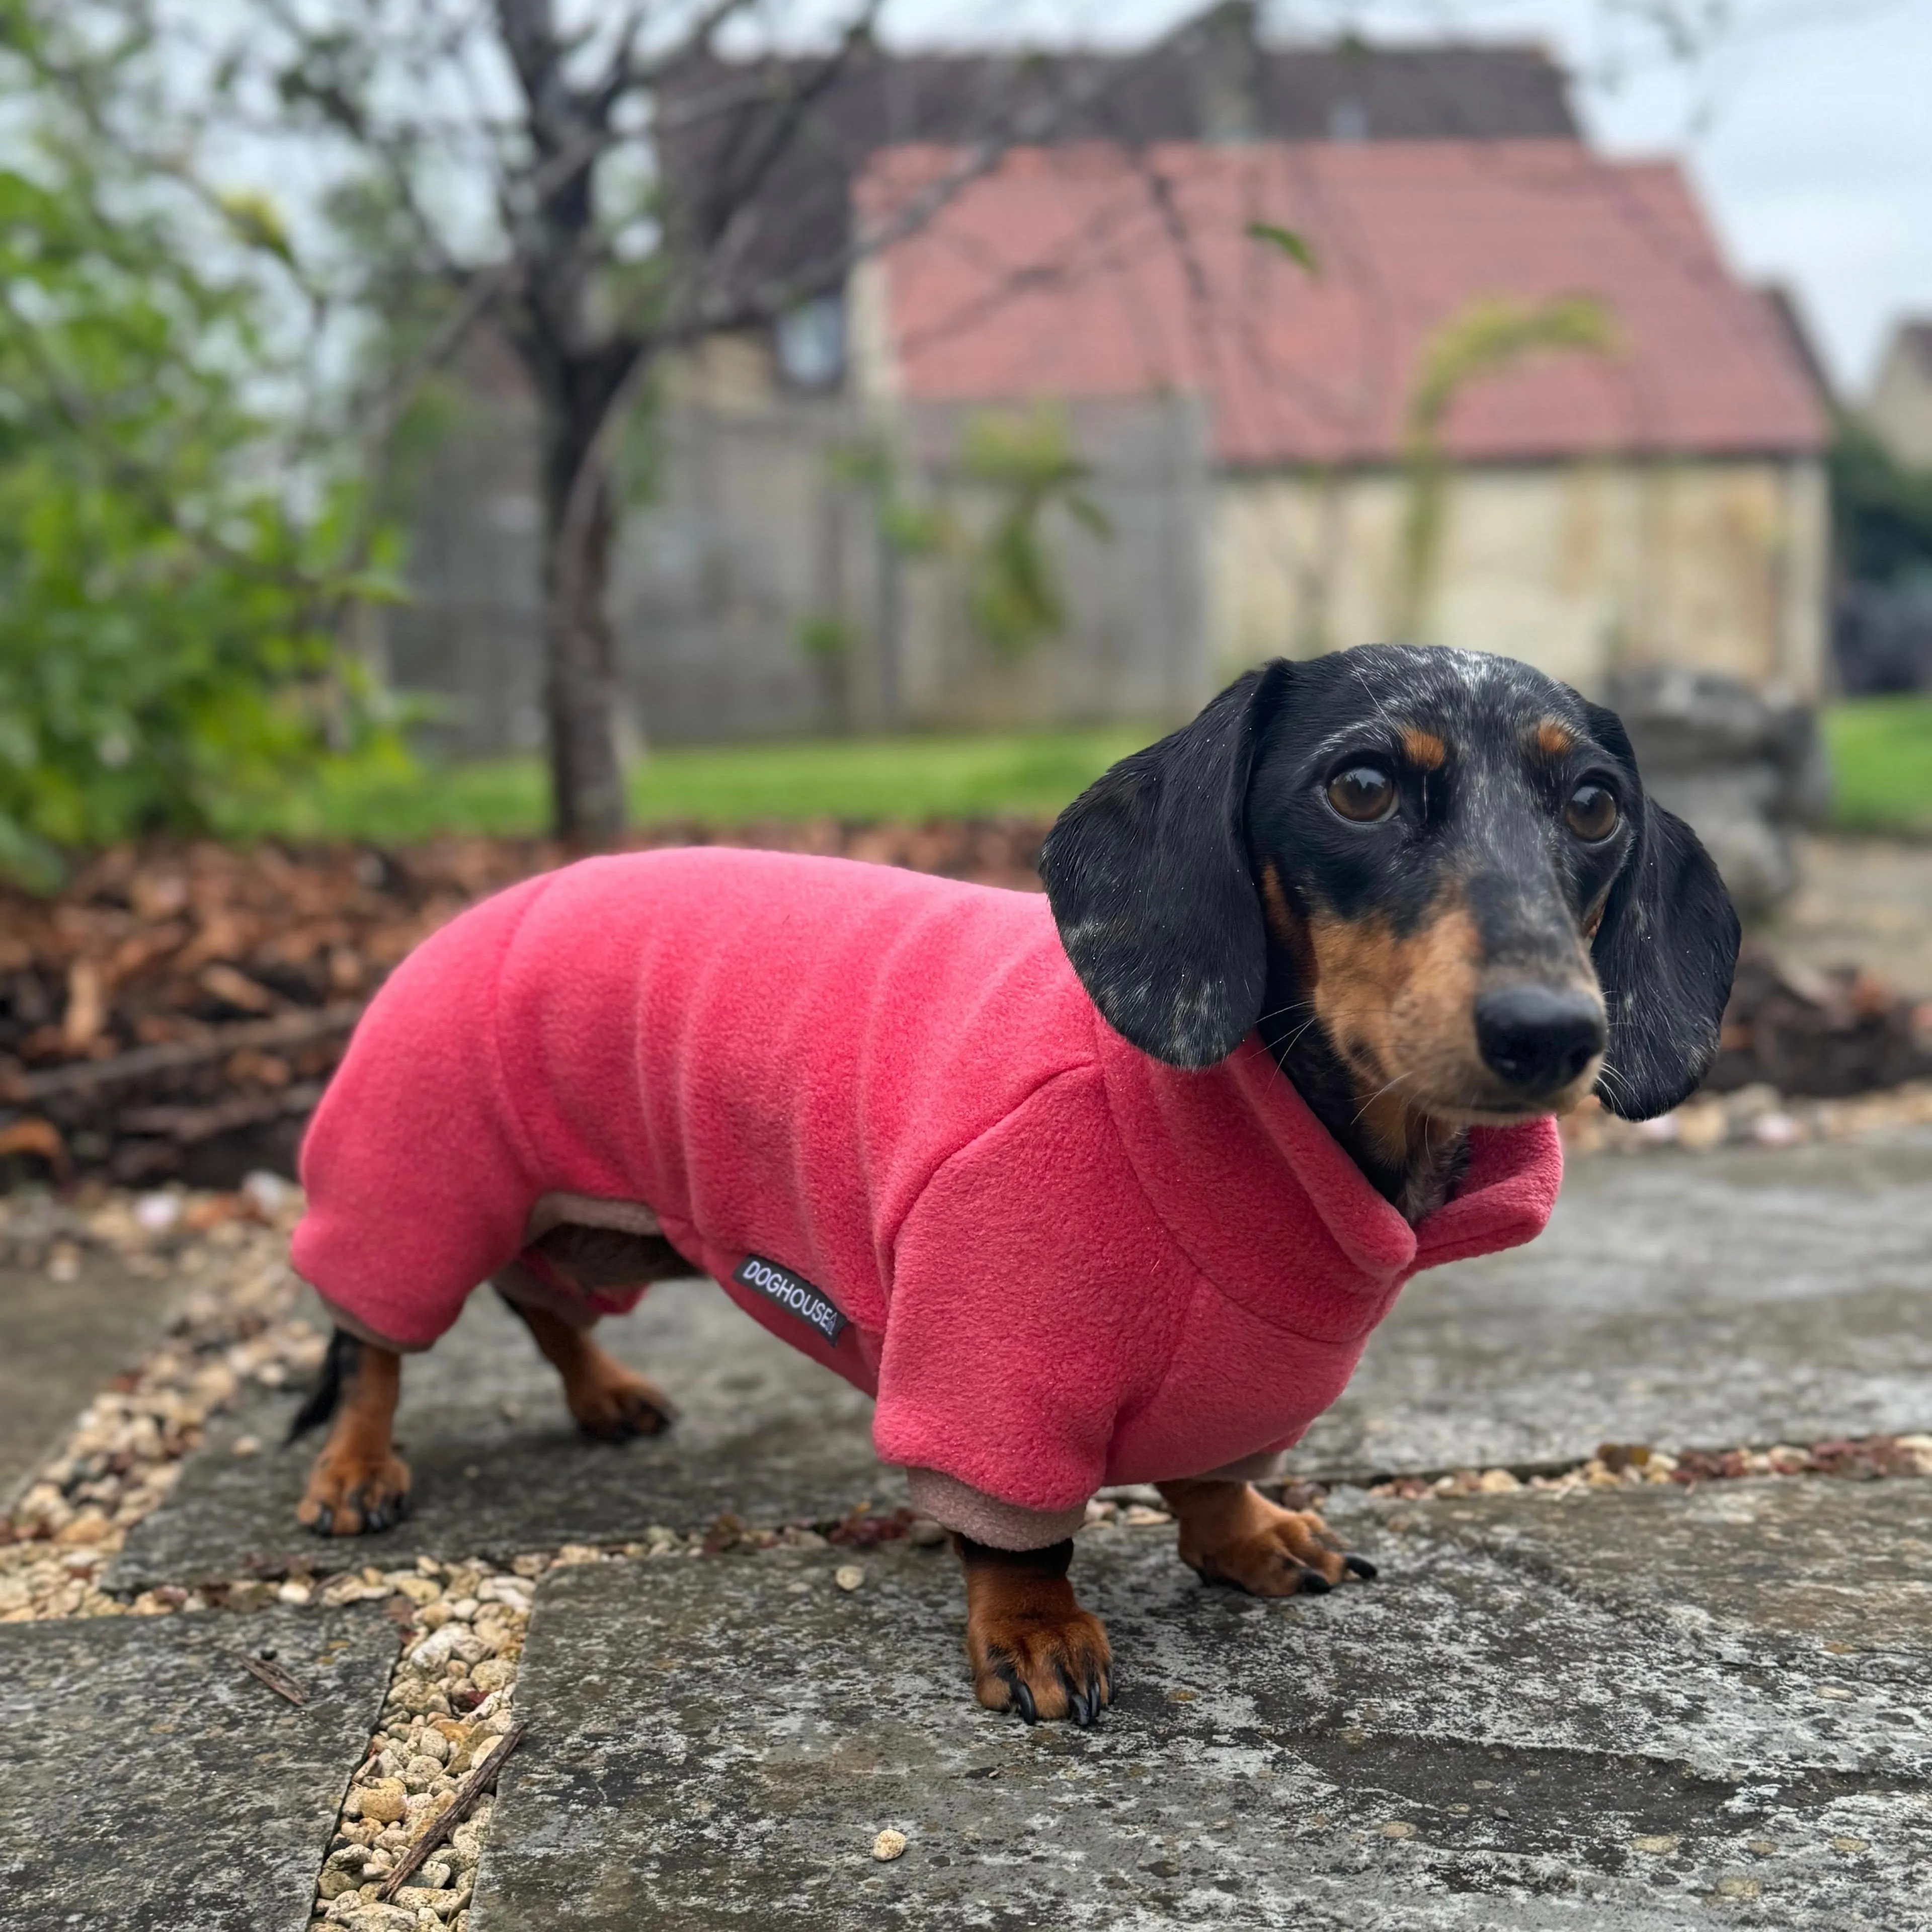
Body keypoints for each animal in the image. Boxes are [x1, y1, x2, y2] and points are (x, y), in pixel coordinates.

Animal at [286, 649, 1739, 1723]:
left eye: (1595, 803)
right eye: (1363, 785)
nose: (1553, 1032)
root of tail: (471, 911)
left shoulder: (1250, 1376)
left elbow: (1213, 1476)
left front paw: (1250, 1531)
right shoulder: (989, 1367)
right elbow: (1018, 1529)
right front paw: (1037, 1632)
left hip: (593, 1229)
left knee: (542, 1304)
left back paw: (605, 1395)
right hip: (419, 1177)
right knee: (374, 1342)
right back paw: (357, 1469)